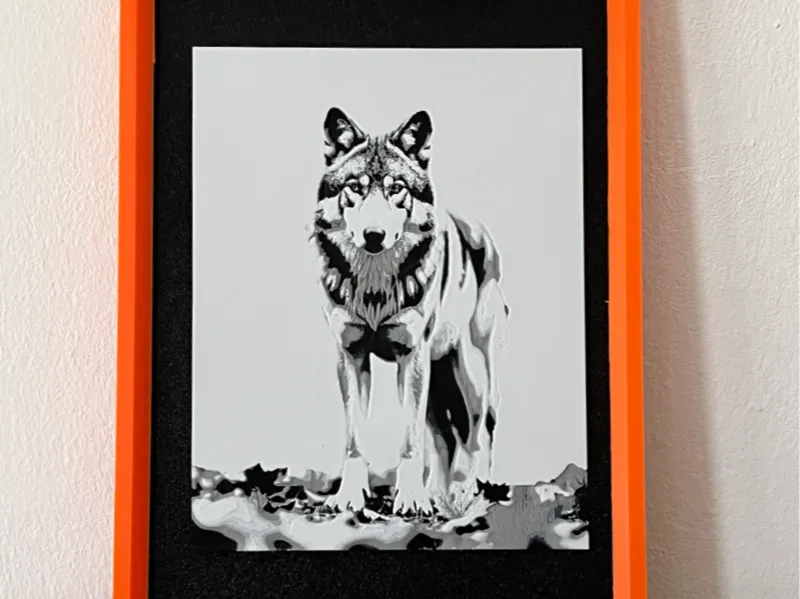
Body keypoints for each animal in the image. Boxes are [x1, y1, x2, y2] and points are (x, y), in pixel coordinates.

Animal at [310, 107, 510, 515]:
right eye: (354, 187)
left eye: (396, 188)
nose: (373, 235)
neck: (374, 292)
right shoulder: (351, 356)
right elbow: (356, 439)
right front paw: (351, 496)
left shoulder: (411, 357)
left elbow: (410, 441)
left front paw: (411, 500)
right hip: (436, 380)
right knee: (444, 438)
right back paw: (438, 493)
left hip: (469, 373)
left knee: (479, 432)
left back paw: (469, 493)